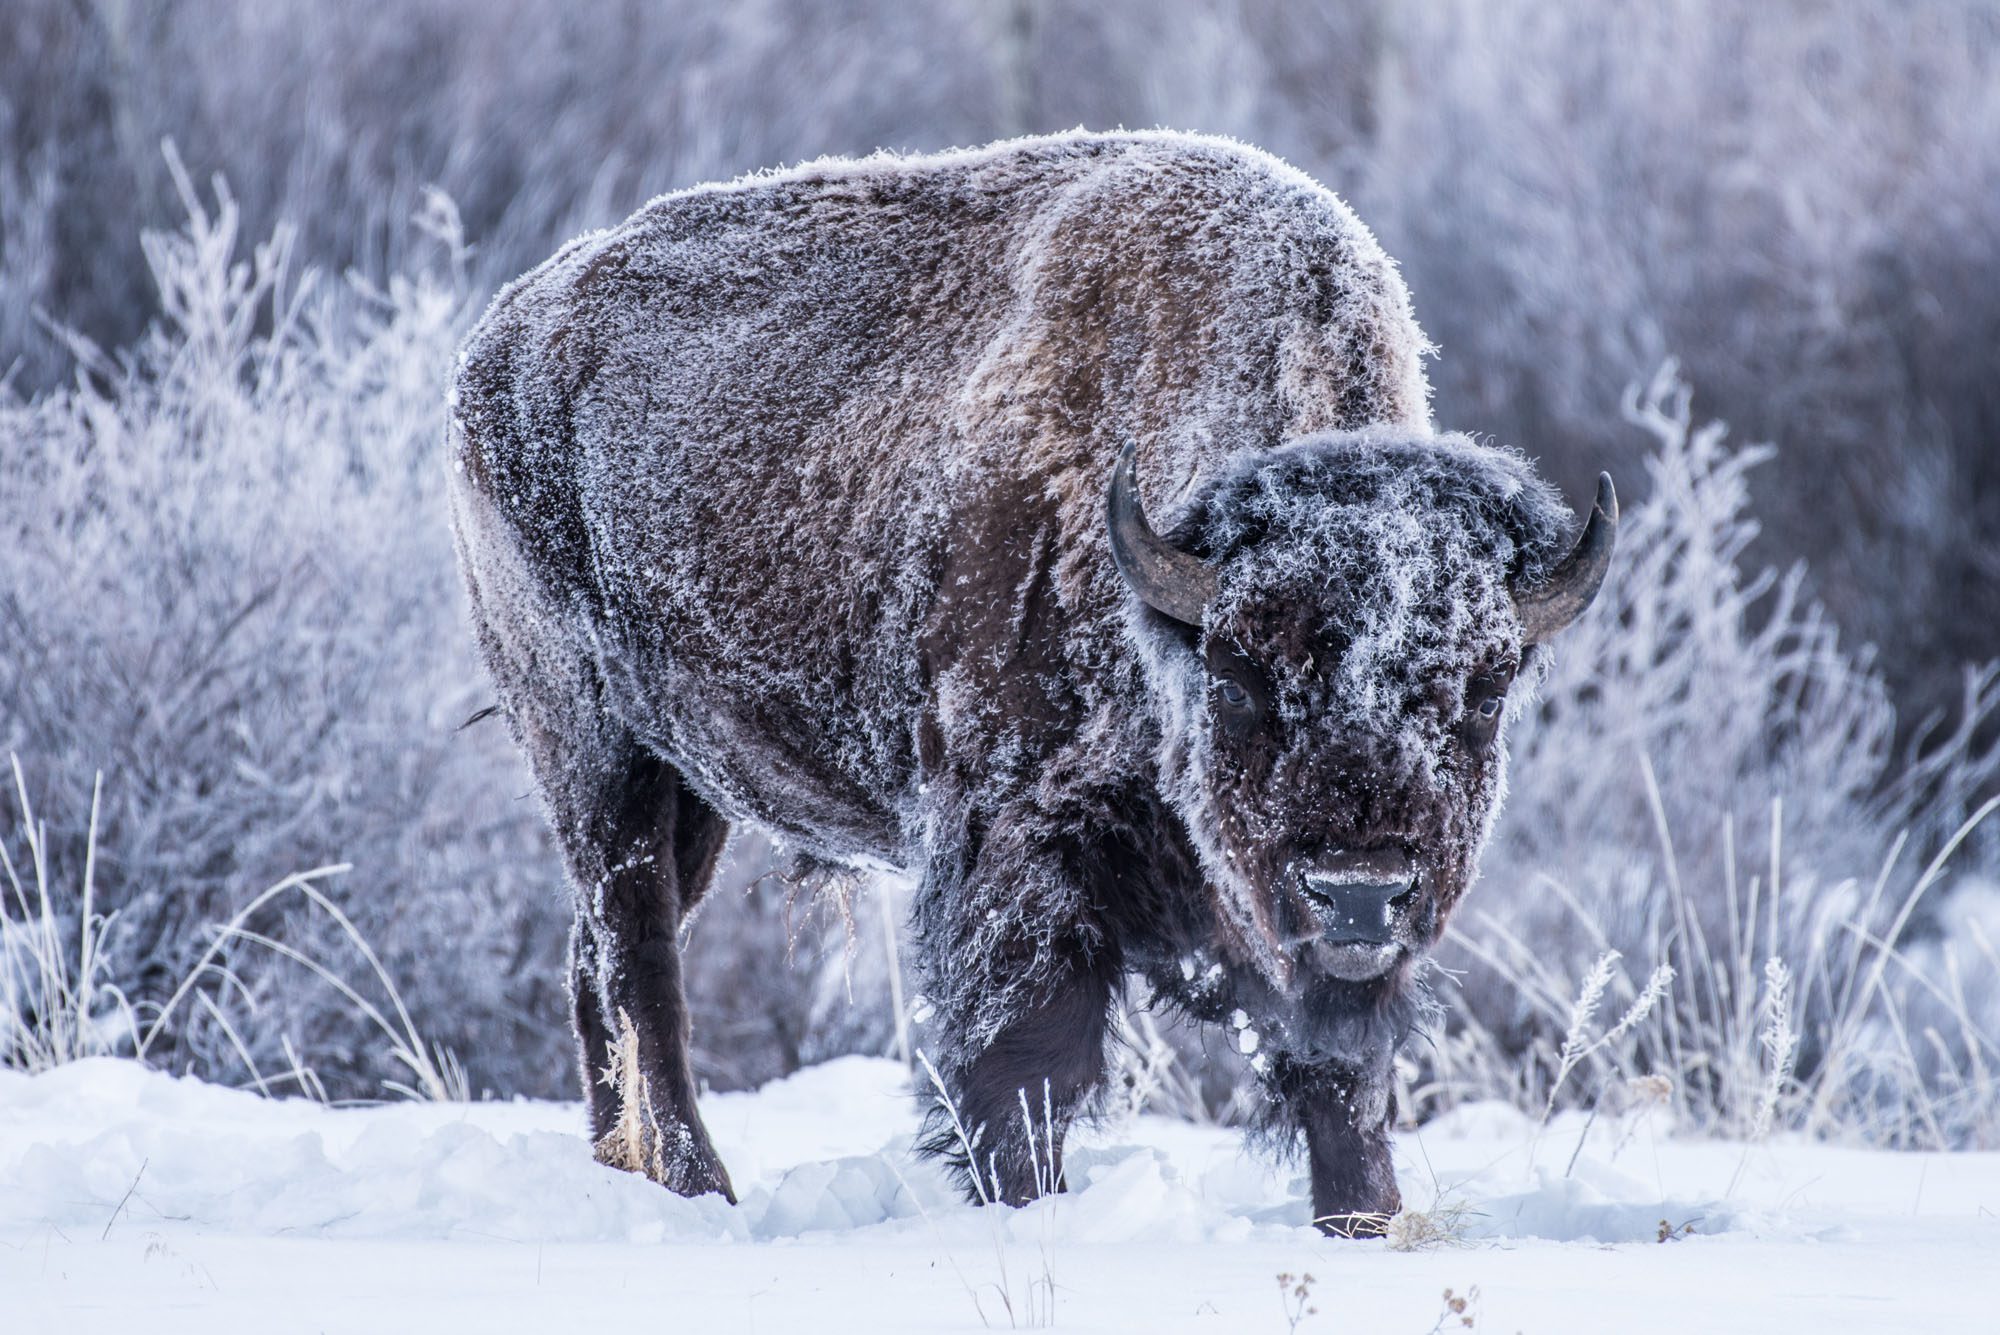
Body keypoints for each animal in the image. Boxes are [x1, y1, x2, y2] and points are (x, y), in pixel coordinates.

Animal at [450, 129, 1608, 1239]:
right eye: (1235, 674)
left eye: (1486, 689)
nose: (1359, 888)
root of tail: (497, 337)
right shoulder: (1018, 858)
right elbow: (1026, 1069)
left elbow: (1340, 1079)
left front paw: (1361, 1222)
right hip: (593, 751)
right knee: (639, 965)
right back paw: (701, 1190)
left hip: (690, 792)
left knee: (593, 967)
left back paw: (625, 1176)